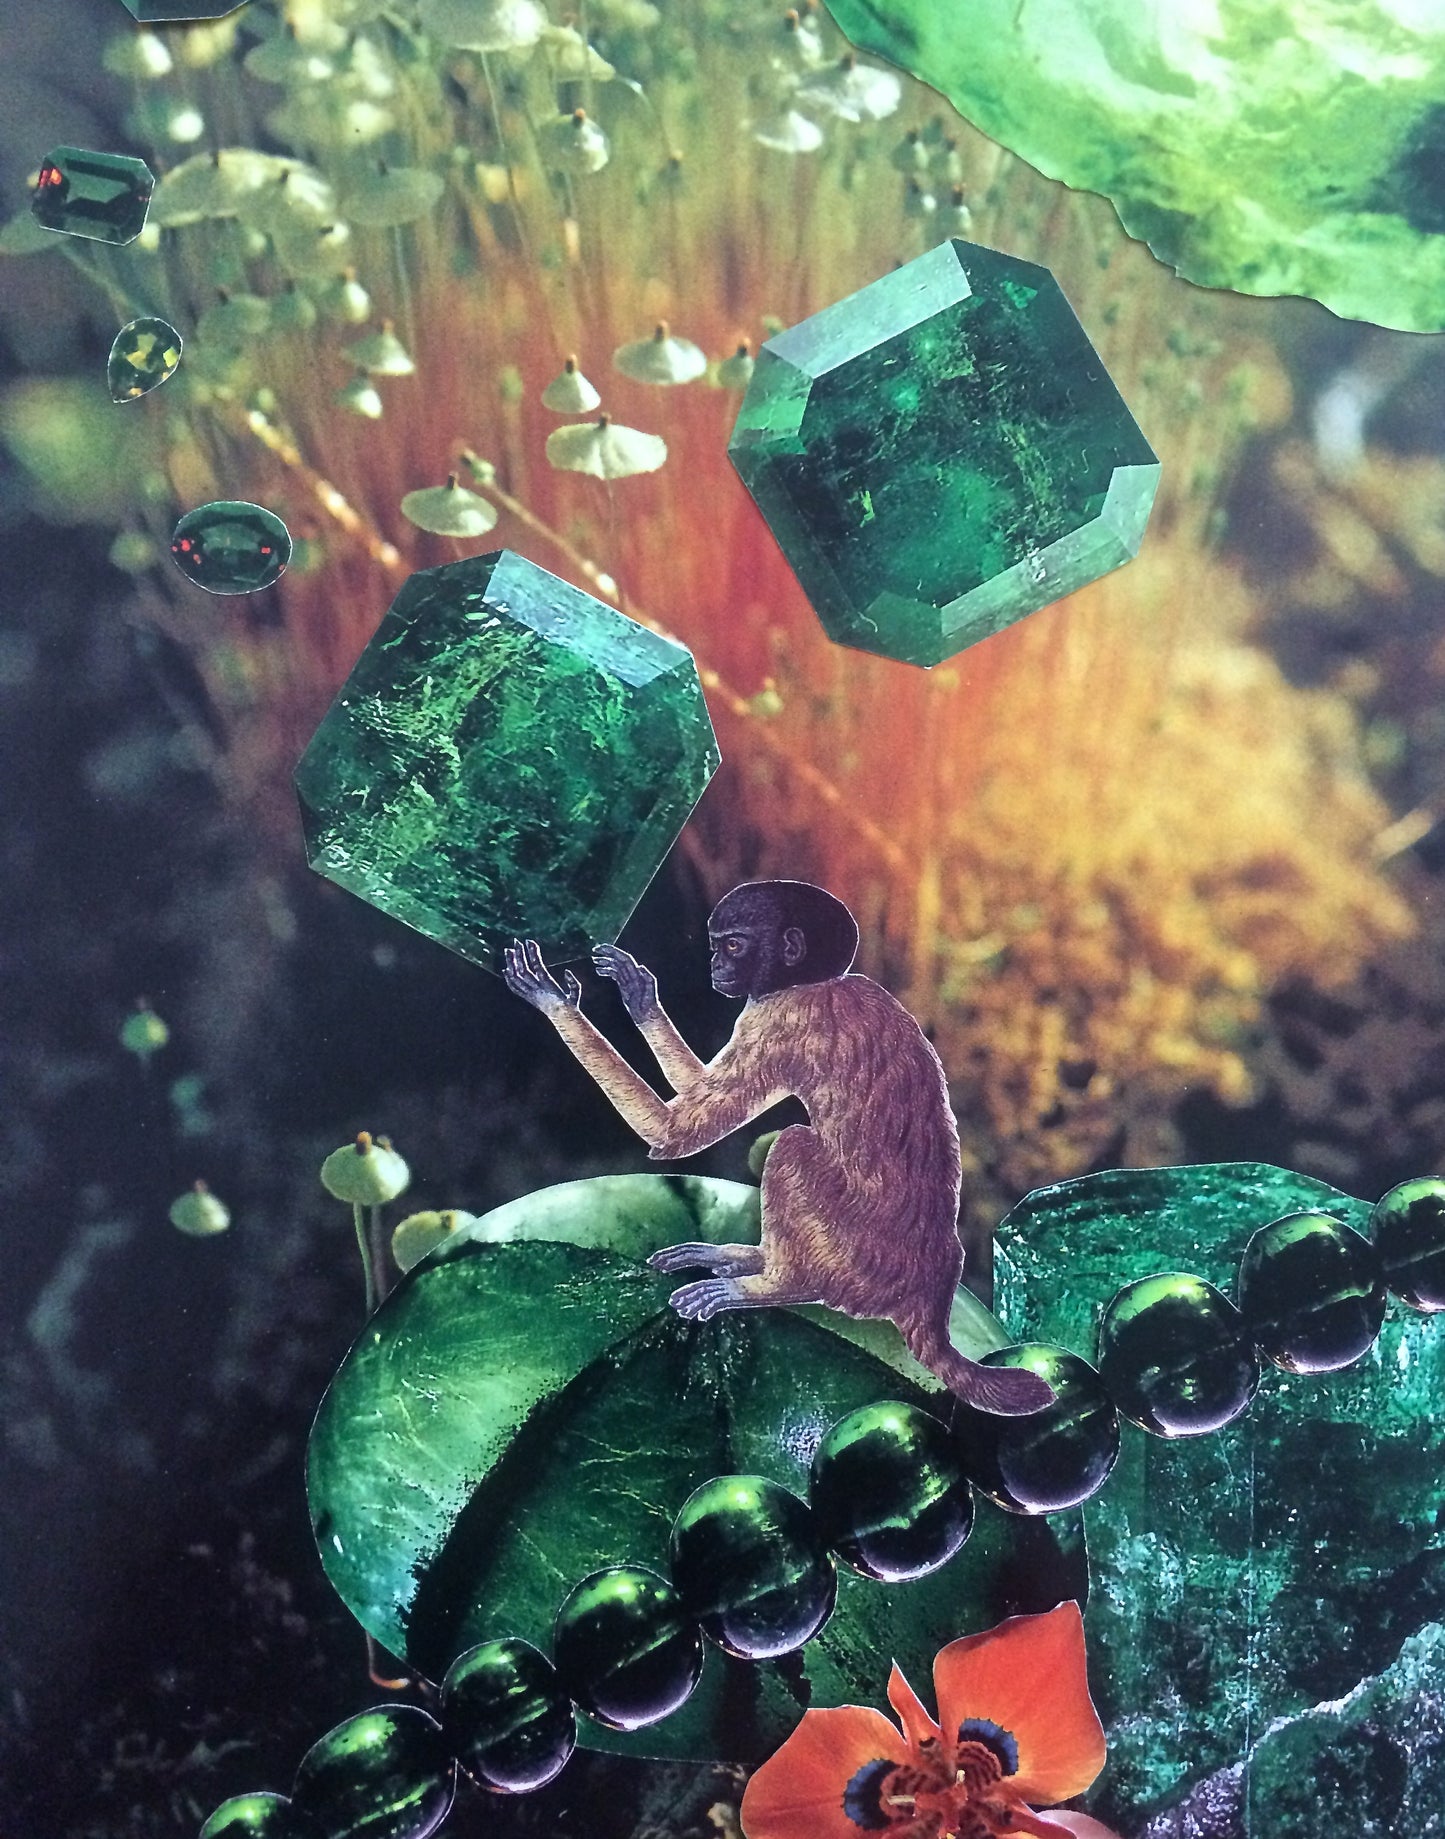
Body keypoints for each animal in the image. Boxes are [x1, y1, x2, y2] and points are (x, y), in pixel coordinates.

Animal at [504, 879, 1053, 1417]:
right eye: (715, 946)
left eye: (732, 945)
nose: (716, 967)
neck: (813, 982)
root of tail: (925, 1301)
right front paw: (638, 996)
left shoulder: (778, 1022)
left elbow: (676, 1133)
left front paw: (554, 1003)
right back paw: (747, 1258)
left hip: (851, 1262)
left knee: (791, 1147)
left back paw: (772, 1285)